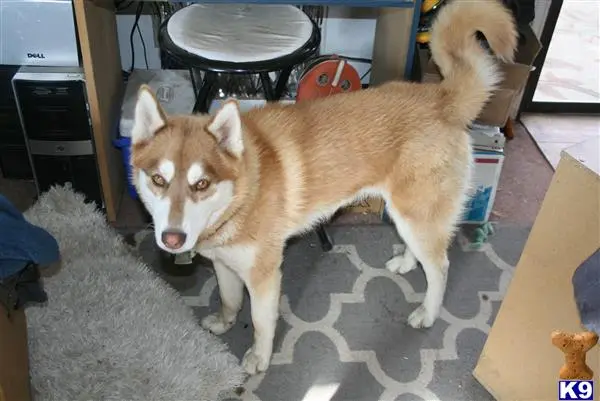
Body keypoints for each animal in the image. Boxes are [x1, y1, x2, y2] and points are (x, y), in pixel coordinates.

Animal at [130, 0, 517, 375]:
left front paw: (259, 359)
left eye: (202, 183)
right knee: (422, 252)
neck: (242, 195)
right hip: (406, 213)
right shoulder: (225, 264)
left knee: (440, 268)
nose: (173, 239)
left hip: (418, 215)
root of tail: (441, 96)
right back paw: (407, 263)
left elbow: (260, 322)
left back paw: (428, 312)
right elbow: (228, 301)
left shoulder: (264, 275)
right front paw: (224, 323)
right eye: (159, 179)